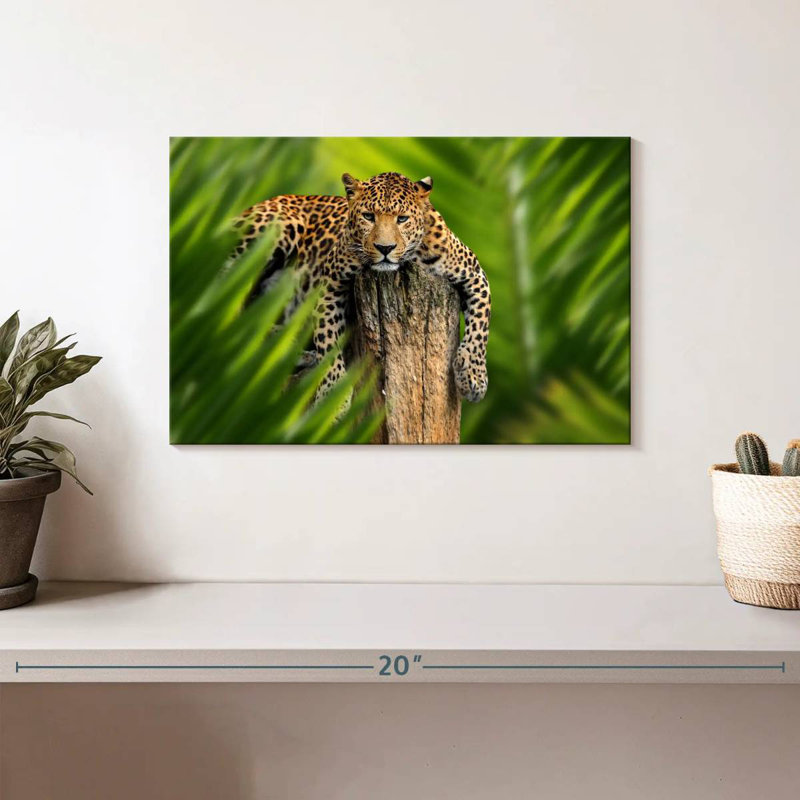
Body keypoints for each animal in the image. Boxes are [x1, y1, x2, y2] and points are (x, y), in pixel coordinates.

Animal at [230, 171, 491, 404]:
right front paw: (333, 395)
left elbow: (481, 326)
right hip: (276, 227)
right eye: (368, 216)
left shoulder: (474, 273)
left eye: (402, 219)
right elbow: (328, 338)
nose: (385, 248)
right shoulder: (329, 281)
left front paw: (473, 376)